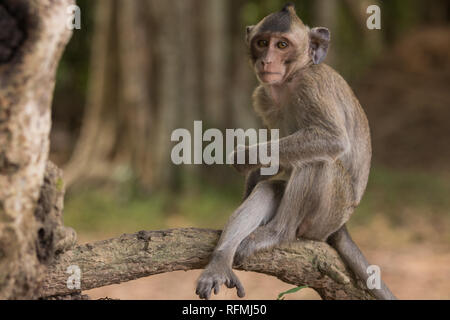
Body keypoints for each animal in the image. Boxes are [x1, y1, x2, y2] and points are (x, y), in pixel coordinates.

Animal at [195, 3, 396, 300]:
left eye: (282, 45)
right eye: (262, 43)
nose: (267, 61)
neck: (289, 81)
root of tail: (340, 227)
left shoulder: (311, 85)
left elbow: (332, 139)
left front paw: (245, 157)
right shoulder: (263, 97)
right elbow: (275, 162)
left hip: (327, 216)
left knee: (319, 160)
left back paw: (279, 233)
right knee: (272, 188)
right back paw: (221, 260)